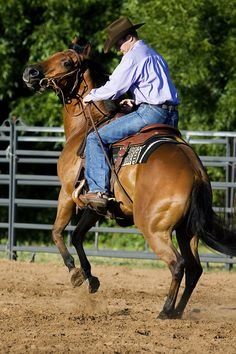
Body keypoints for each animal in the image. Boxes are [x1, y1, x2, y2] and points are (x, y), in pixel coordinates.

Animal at [22, 40, 236, 318]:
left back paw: (165, 310)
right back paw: (178, 311)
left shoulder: (67, 193)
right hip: (186, 230)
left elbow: (57, 232)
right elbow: (77, 235)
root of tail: (196, 172)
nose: (30, 72)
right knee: (194, 268)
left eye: (67, 61)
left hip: (154, 228)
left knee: (177, 264)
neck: (87, 126)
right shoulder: (96, 204)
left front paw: (75, 274)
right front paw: (92, 279)